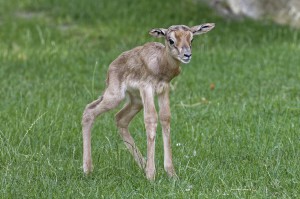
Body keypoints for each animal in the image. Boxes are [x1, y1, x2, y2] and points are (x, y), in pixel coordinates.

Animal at [81, 23, 214, 180]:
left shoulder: (164, 89)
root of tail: (112, 66)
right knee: (89, 111)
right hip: (115, 96)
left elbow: (165, 118)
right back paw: (87, 169)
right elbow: (151, 119)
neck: (161, 63)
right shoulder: (147, 88)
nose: (187, 55)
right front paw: (151, 175)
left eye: (191, 39)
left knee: (120, 118)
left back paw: (143, 165)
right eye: (171, 40)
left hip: (136, 101)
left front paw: (171, 173)